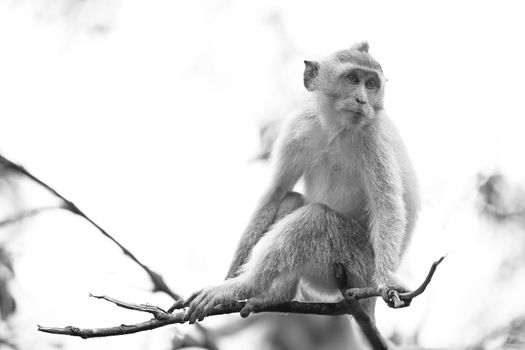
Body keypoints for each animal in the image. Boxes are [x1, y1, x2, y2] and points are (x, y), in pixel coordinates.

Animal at [178, 42, 420, 324]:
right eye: (353, 79)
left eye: (371, 84)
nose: (362, 100)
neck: (336, 130)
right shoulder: (300, 124)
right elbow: (276, 190)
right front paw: (229, 274)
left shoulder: (372, 136)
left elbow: (386, 206)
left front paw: (387, 281)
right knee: (291, 200)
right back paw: (274, 293)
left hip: (357, 268)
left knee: (315, 218)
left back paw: (245, 286)